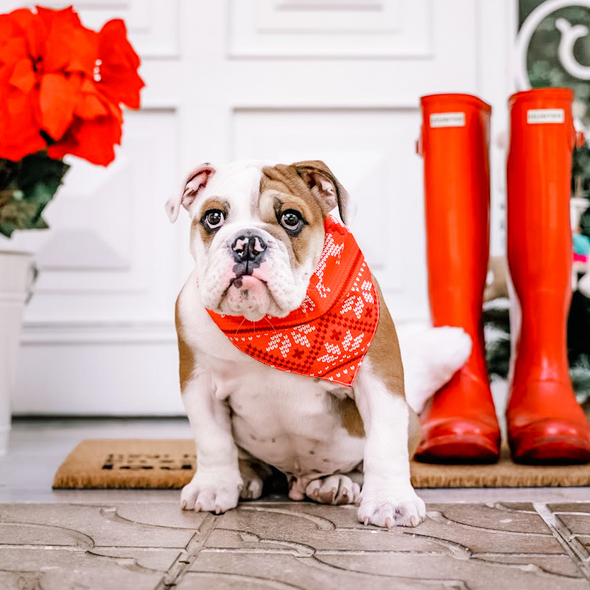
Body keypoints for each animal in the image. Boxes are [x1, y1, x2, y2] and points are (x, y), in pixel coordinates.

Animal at [164, 160, 428, 528]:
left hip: (412, 420)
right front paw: (213, 486)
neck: (266, 322)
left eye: (291, 219)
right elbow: (212, 440)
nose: (247, 243)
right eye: (213, 218)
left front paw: (391, 501)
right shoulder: (198, 383)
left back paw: (337, 483)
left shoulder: (379, 379)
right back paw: (247, 477)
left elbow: (385, 443)